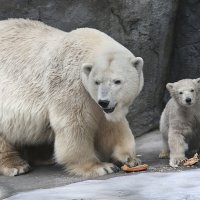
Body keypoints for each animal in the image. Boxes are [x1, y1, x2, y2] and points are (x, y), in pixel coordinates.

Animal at [0, 18, 144, 176]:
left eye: (117, 81)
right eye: (97, 82)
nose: (104, 102)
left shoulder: (99, 104)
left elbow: (112, 126)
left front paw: (129, 158)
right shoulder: (70, 84)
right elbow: (75, 123)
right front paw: (100, 166)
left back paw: (45, 158)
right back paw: (16, 165)